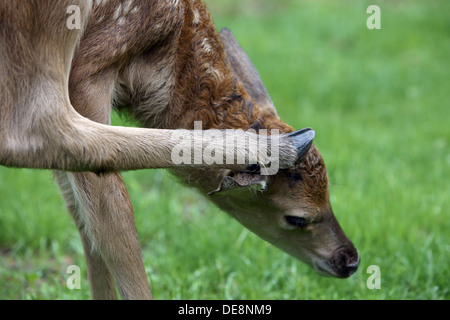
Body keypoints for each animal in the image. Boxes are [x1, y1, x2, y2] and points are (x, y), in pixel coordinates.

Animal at [0, 0, 358, 300]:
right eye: (297, 218)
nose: (349, 260)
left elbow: (82, 216)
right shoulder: (89, 67)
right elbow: (111, 213)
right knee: (39, 129)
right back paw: (268, 148)